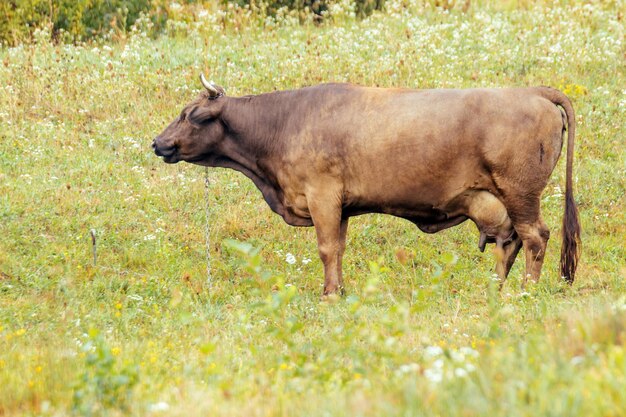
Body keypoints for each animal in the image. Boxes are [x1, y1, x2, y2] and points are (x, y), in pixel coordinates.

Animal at [152, 76, 580, 294]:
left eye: (191, 115)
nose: (158, 142)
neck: (285, 122)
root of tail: (531, 91)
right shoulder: (340, 205)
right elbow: (339, 249)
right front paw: (339, 291)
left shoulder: (322, 195)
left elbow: (326, 249)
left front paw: (328, 295)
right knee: (510, 240)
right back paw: (498, 287)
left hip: (521, 193)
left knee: (535, 236)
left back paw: (524, 291)